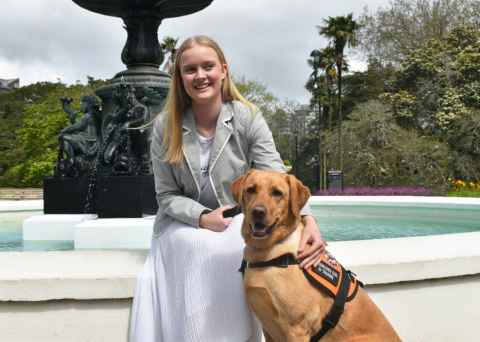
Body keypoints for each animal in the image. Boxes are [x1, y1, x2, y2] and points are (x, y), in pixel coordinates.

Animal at [231, 170, 400, 340]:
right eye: (251, 189)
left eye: (277, 193)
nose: (257, 212)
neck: (267, 251)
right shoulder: (268, 328)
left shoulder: (297, 328)